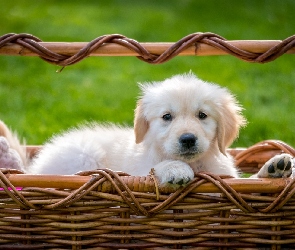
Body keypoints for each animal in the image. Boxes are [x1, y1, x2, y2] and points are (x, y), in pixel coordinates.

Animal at [0, 73, 294, 186]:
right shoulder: (138, 170)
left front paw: (274, 168)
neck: (197, 163)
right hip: (83, 154)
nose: (188, 139)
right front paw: (175, 169)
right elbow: (156, 167)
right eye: (167, 117)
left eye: (202, 115)